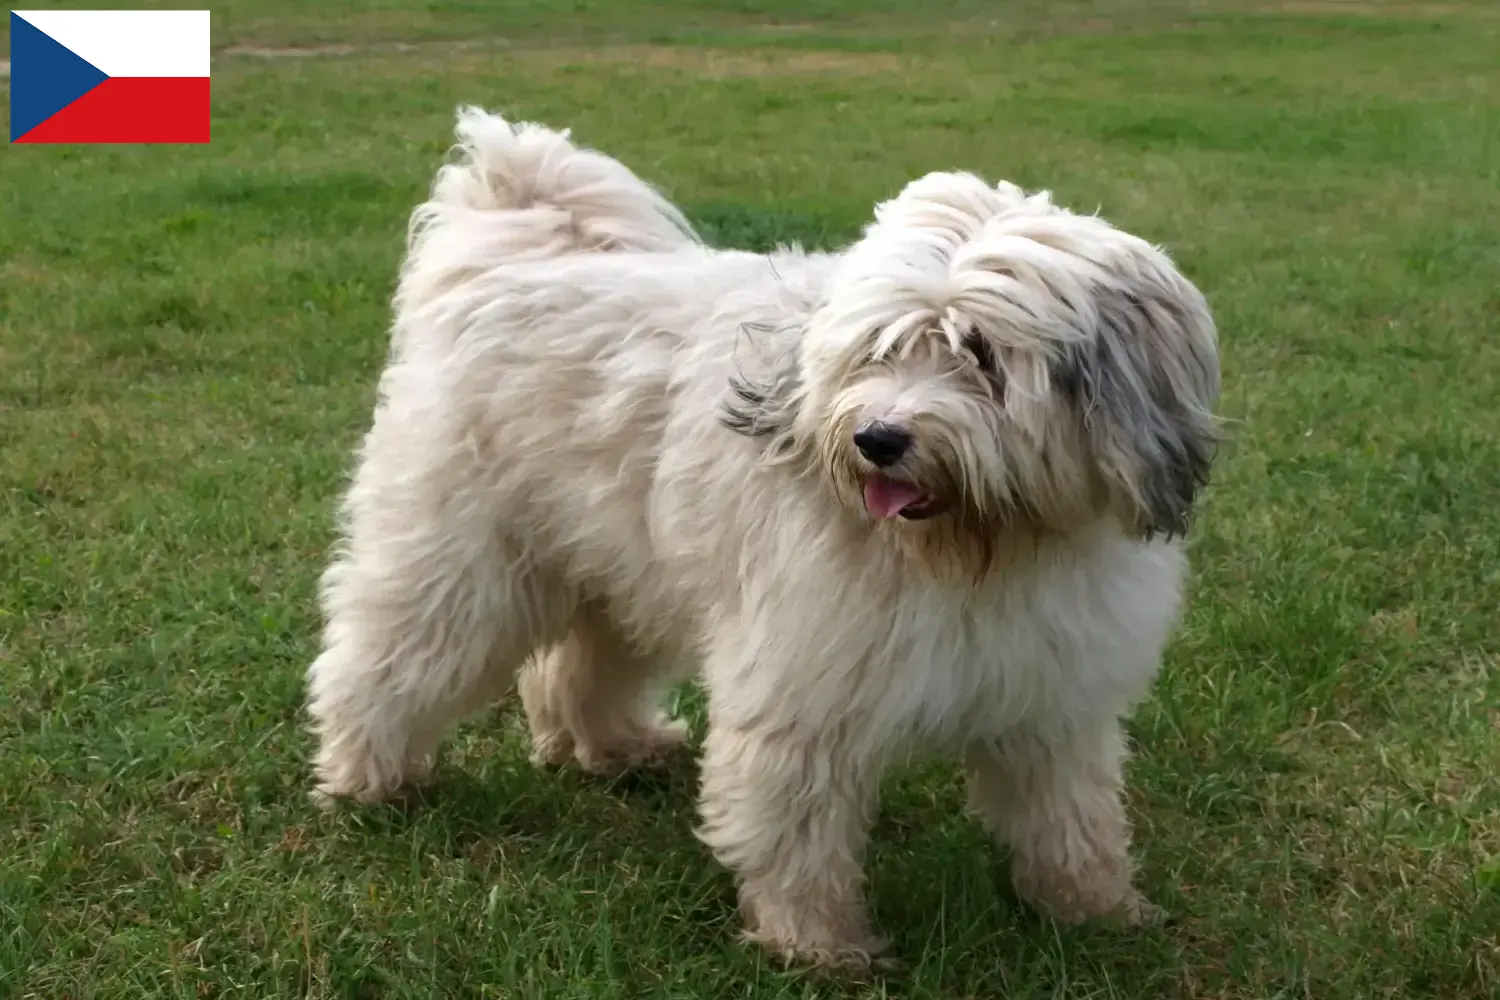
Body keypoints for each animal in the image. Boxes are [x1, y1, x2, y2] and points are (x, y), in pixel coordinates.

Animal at [304, 109, 1218, 971]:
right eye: (880, 349)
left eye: (982, 355)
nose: (879, 439)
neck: (981, 547)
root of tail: (506, 262)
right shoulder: (807, 683)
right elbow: (797, 823)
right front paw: (817, 942)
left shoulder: (1052, 691)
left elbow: (1070, 813)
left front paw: (1096, 910)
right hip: (461, 562)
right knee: (383, 660)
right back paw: (366, 781)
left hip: (625, 566)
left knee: (577, 666)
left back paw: (616, 749)